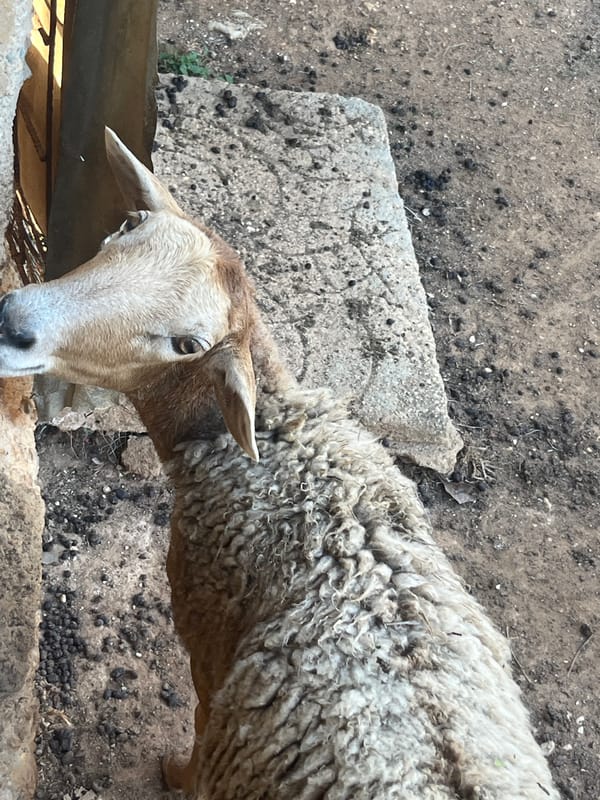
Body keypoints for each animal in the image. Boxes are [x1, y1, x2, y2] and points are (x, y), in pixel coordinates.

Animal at [0, 128, 559, 800]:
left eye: (187, 344)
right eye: (127, 226)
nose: (14, 322)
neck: (279, 448)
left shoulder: (208, 639)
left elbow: (199, 730)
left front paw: (177, 775)